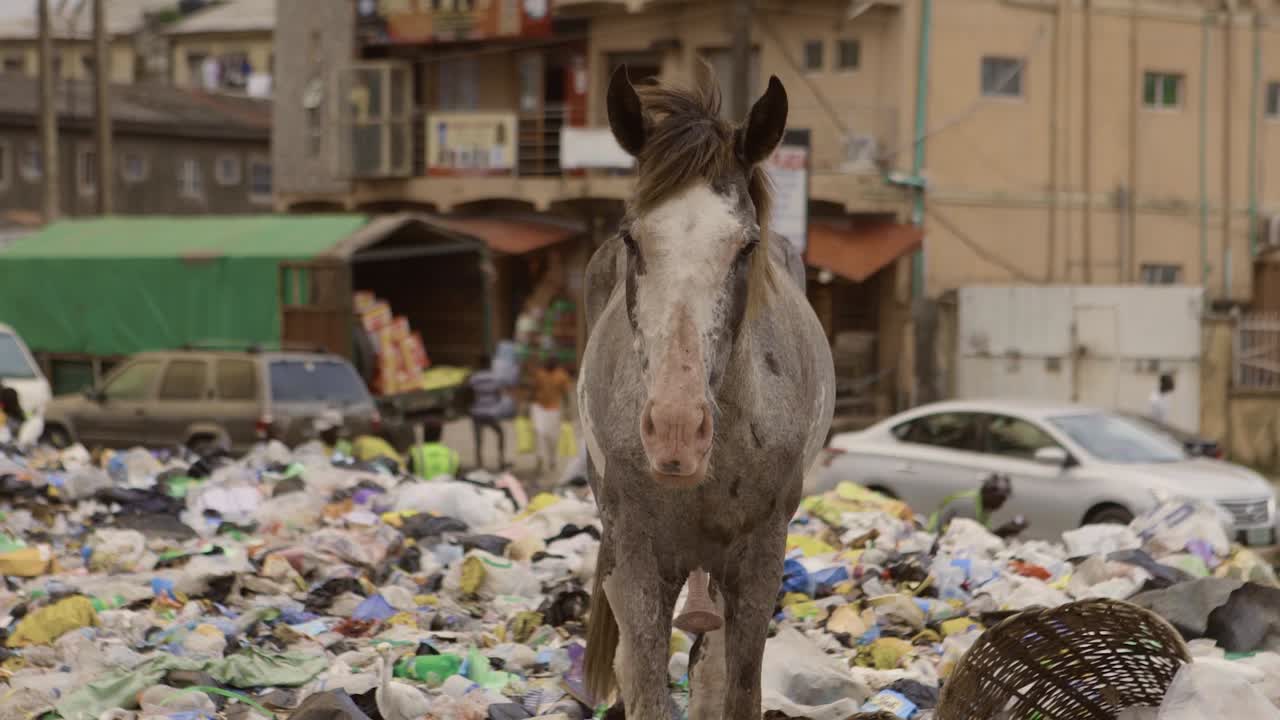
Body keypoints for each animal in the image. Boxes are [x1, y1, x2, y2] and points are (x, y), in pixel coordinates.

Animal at [579, 64, 835, 720]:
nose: (675, 431)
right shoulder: (636, 560)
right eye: (632, 239)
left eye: (745, 245)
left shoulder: (760, 560)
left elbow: (737, 686)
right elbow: (644, 683)